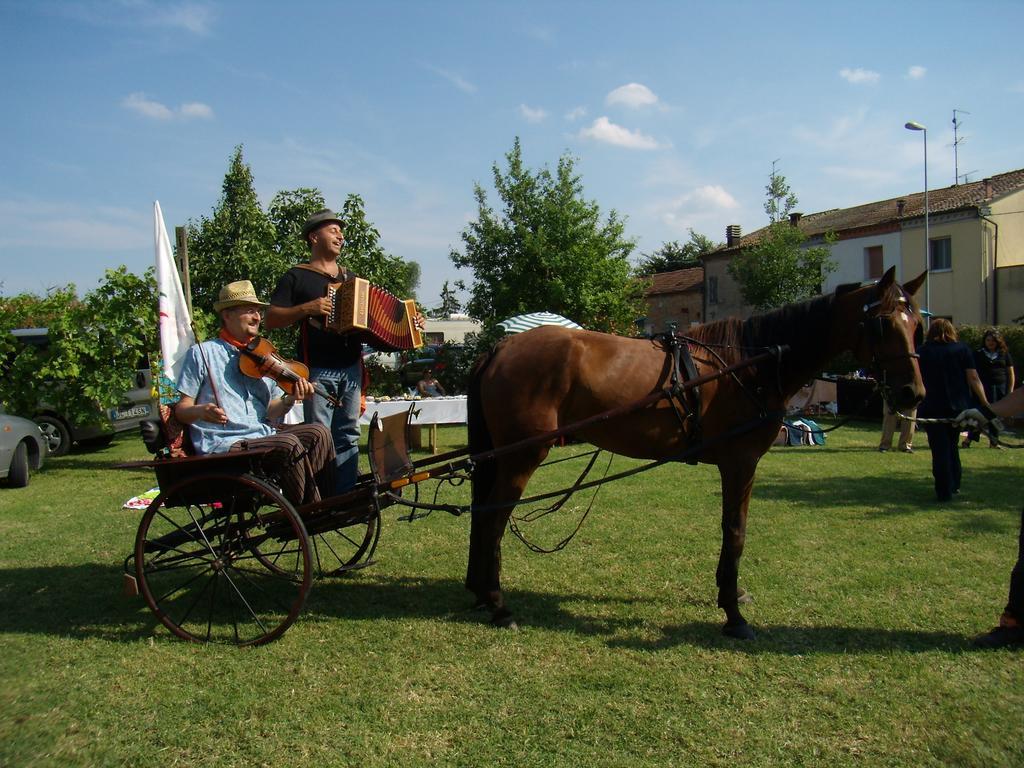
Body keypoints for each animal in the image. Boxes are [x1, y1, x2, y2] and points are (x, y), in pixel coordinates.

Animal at [464, 268, 929, 638]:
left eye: (916, 327)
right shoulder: (740, 462)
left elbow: (734, 529)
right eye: (883, 323)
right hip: (522, 456)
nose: (913, 392)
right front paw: (734, 615)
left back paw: (483, 593)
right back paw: (499, 604)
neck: (752, 364)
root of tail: (500, 348)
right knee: (491, 519)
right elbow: (735, 532)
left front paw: (731, 592)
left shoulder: (741, 465)